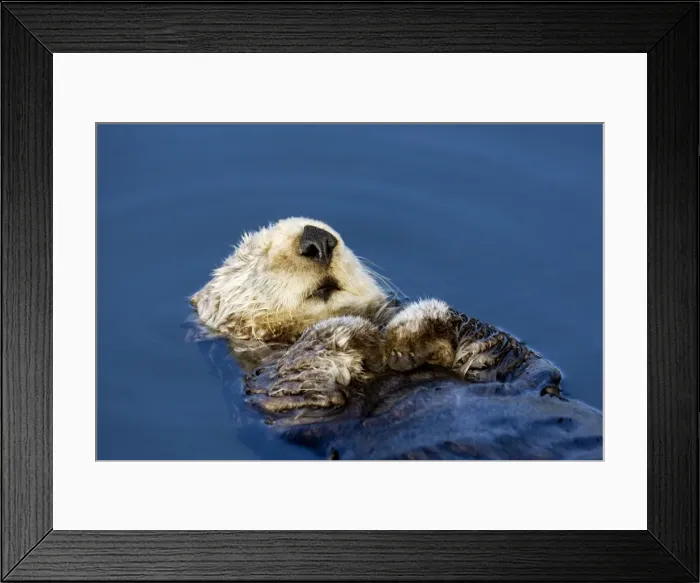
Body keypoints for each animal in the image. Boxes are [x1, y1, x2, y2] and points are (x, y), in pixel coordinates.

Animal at [188, 217, 602, 460]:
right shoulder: (274, 395)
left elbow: (496, 346)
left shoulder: (513, 365)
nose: (317, 239)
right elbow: (300, 374)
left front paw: (409, 329)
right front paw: (357, 332)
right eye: (253, 256)